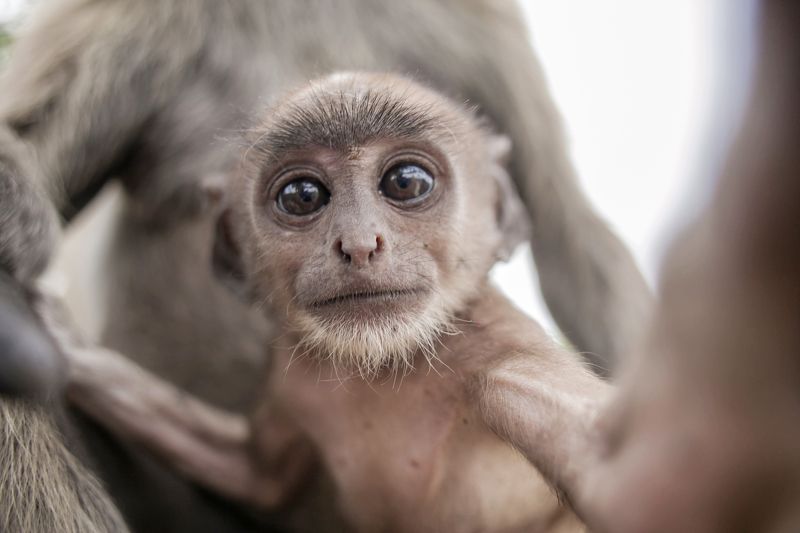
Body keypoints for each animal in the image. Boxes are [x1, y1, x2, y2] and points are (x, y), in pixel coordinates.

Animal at [0, 1, 650, 531]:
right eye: (302, 196)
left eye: (406, 183)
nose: (360, 245)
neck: (386, 370)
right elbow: (259, 475)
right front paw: (63, 345)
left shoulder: (505, 367)